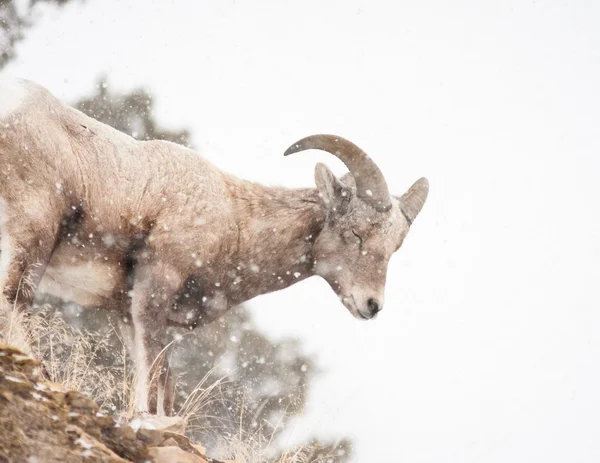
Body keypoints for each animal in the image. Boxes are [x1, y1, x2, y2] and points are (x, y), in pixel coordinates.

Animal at [0, 79, 432, 416]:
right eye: (357, 233)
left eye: (394, 247)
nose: (372, 305)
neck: (233, 220)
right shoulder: (155, 287)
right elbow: (156, 381)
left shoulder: (124, 311)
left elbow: (154, 378)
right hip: (33, 238)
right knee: (16, 300)